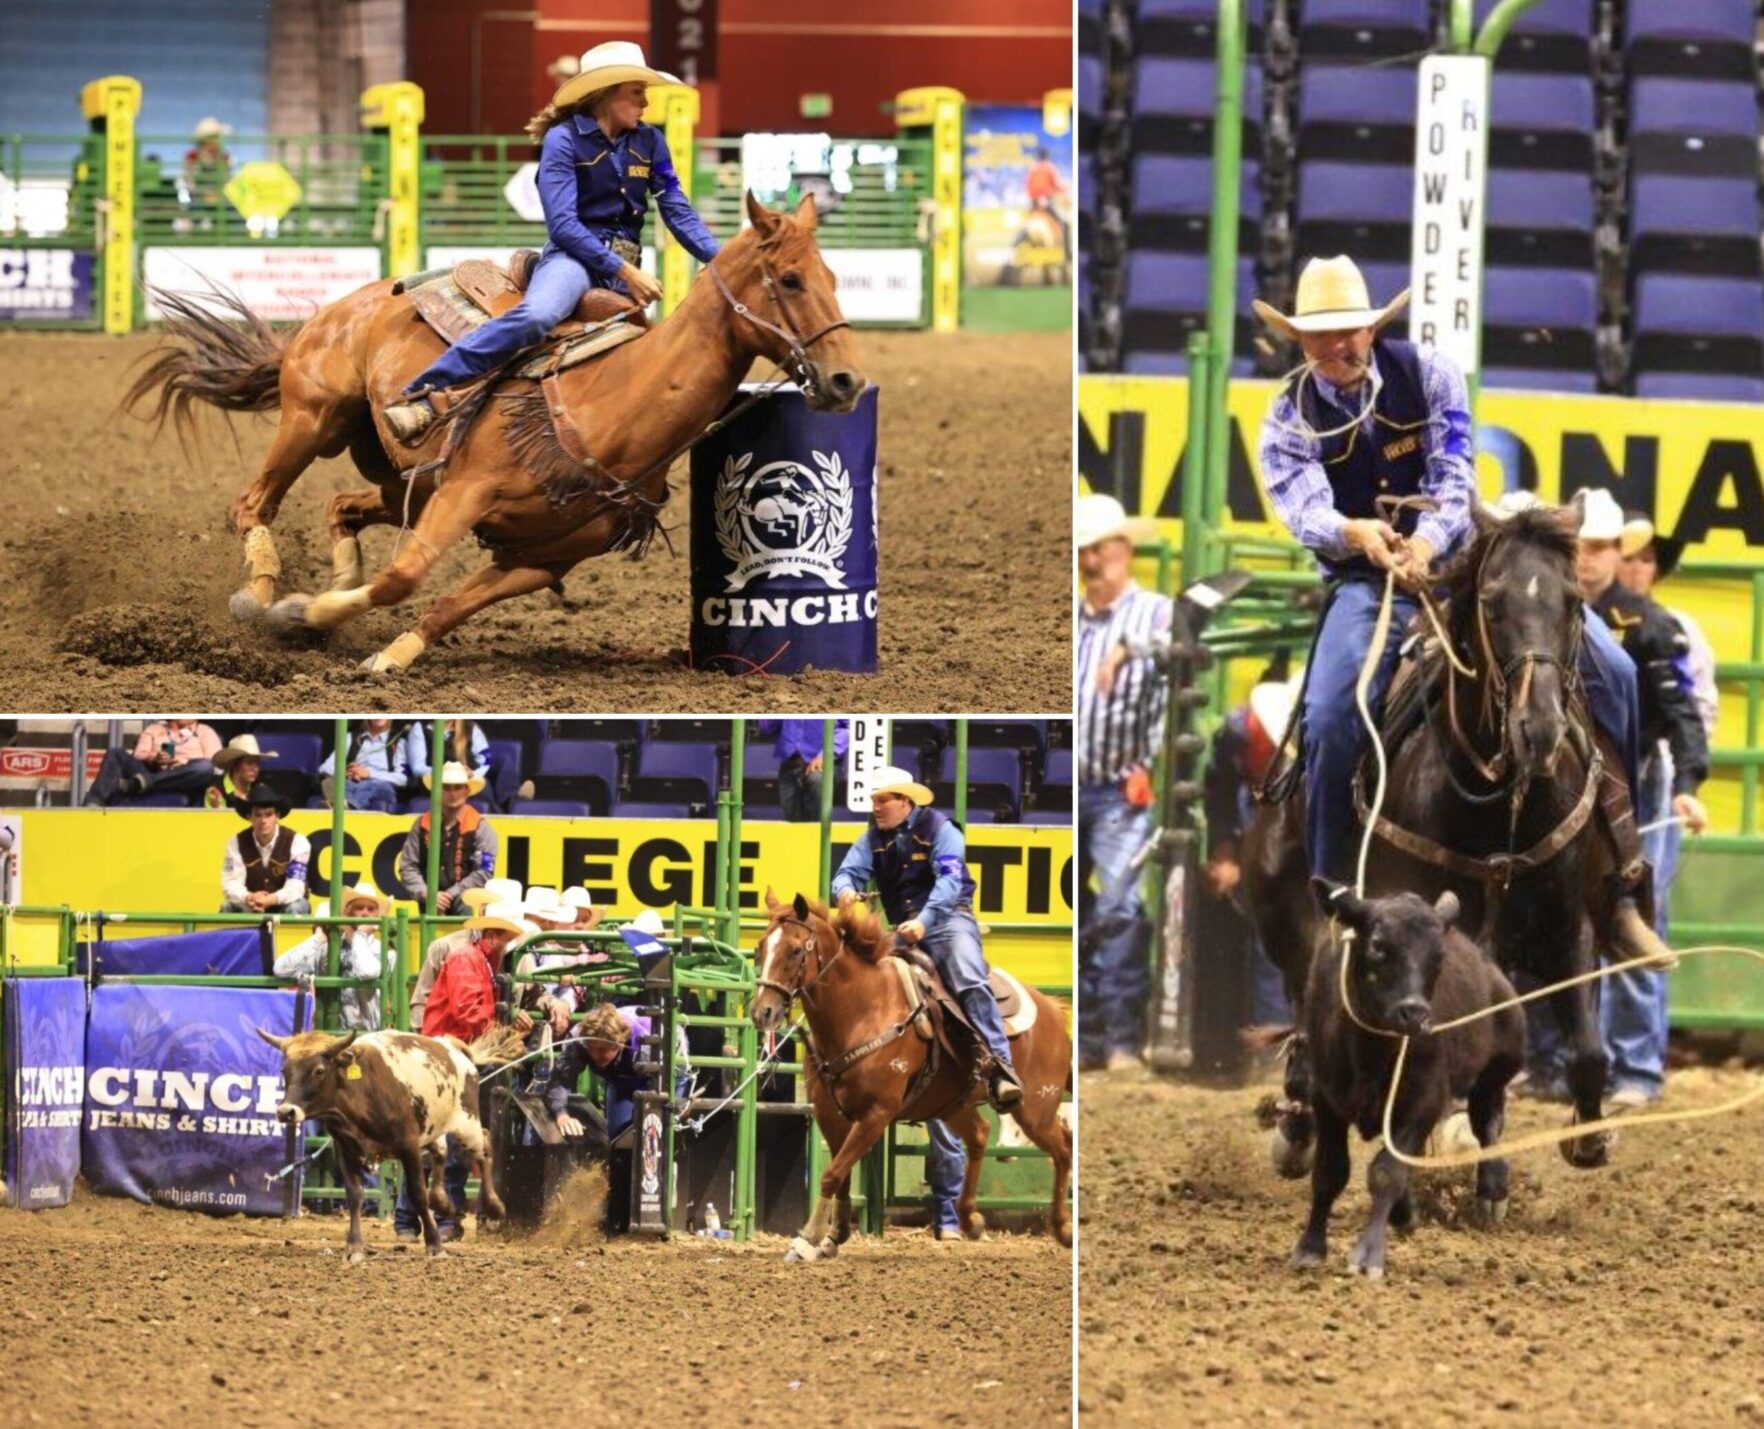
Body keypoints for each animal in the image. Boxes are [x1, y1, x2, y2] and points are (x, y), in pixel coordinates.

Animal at [122, 190, 860, 673]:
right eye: (790, 278)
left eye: (833, 275)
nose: (847, 380)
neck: (614, 405)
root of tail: (346, 303)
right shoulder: (465, 493)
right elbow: (406, 576)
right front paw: (298, 615)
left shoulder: (544, 556)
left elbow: (451, 604)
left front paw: (387, 652)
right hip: (314, 419)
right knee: (253, 504)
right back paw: (260, 596)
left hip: (403, 476)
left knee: (341, 506)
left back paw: (326, 581)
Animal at [747, 885, 1072, 1263]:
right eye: (760, 948)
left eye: (796, 950)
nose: (762, 1012)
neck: (863, 1010)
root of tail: (1053, 1010)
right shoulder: (829, 1113)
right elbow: (842, 1174)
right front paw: (834, 1236)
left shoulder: (876, 1115)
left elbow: (831, 1174)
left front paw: (806, 1239)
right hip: (953, 1104)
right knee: (980, 1135)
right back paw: (970, 1217)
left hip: (1035, 1109)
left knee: (1063, 1147)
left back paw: (1063, 1228)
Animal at [1248, 501, 1615, 1171]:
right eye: (1492, 604)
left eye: (1574, 601)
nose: (1539, 729)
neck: (1499, 803)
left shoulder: (1567, 920)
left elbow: (1587, 1049)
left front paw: (1587, 1135)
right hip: (1283, 925)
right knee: (1306, 1019)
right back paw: (1299, 1123)